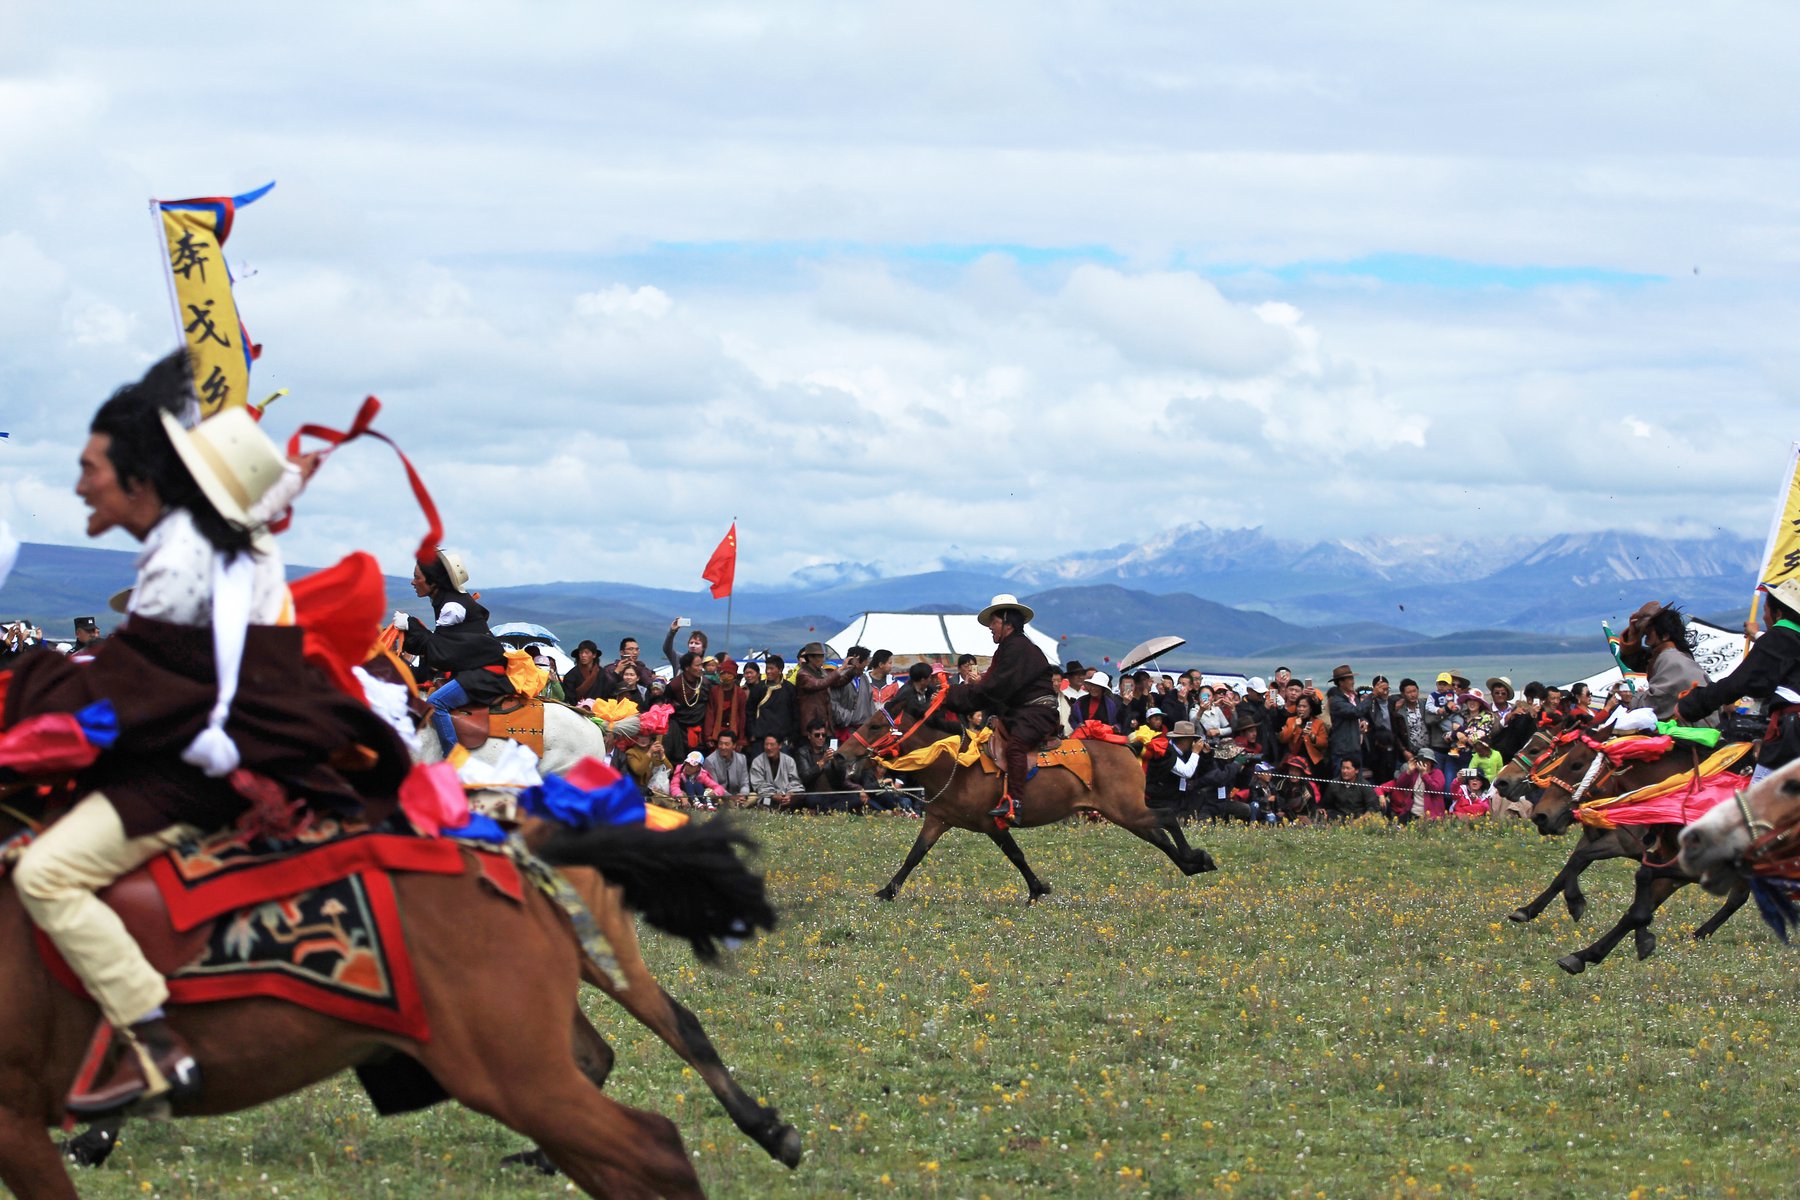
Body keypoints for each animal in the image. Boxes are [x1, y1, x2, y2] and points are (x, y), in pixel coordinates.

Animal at [838, 705, 1209, 899]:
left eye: (875, 726)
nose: (840, 755)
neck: (955, 764)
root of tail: (1129, 747)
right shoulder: (937, 820)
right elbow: (915, 855)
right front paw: (887, 891)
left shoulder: (992, 822)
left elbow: (1015, 854)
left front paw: (1037, 889)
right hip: (1124, 812)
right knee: (1158, 834)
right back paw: (1191, 864)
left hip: (1127, 809)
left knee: (1167, 816)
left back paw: (1197, 857)